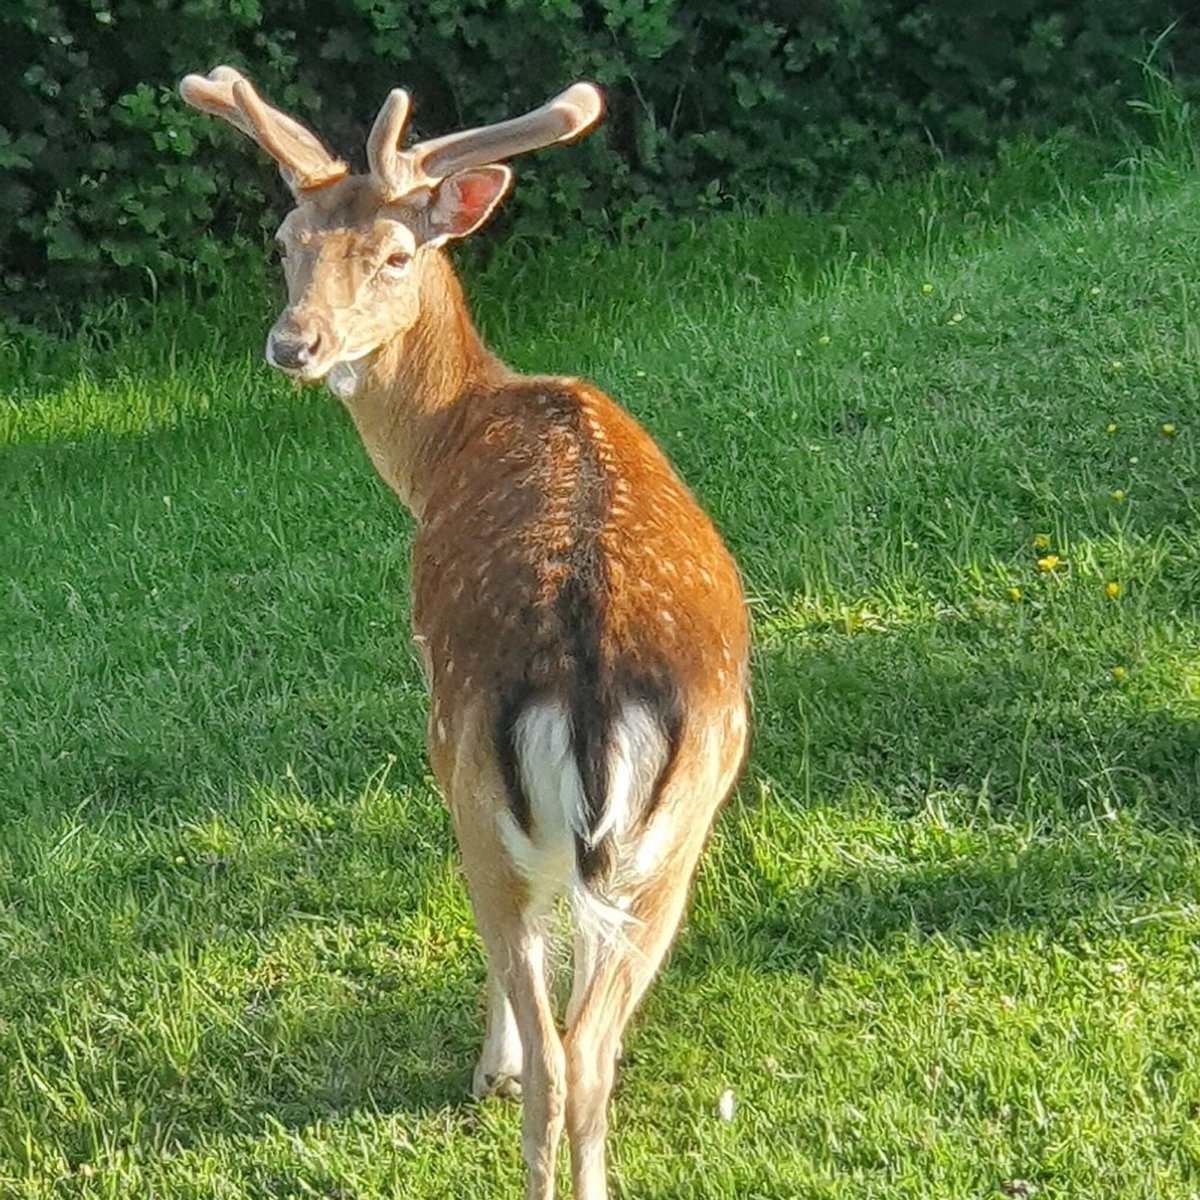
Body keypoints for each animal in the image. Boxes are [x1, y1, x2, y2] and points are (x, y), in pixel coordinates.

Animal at [178, 65, 750, 1200]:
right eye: (287, 240)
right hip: (679, 828)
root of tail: (589, 686)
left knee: (560, 1056)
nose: (294, 343)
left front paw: (491, 1063)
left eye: (396, 254)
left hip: (477, 780)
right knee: (596, 1055)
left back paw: (512, 1083)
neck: (446, 440)